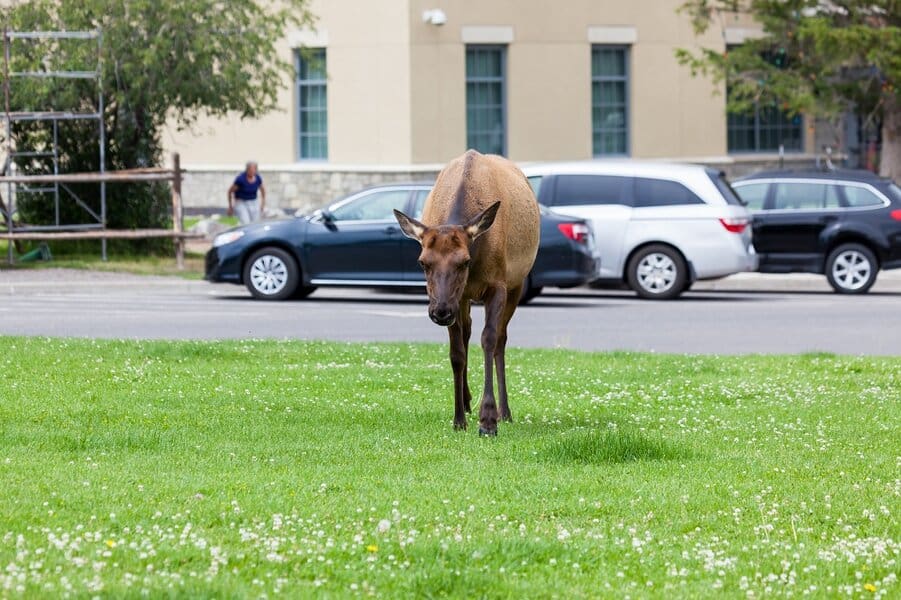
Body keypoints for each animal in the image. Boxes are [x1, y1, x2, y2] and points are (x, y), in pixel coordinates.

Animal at [394, 150, 540, 436]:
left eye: (465, 261)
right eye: (422, 262)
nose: (438, 312)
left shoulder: (498, 284)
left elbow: (489, 340)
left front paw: (488, 421)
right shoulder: (457, 298)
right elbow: (457, 352)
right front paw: (458, 418)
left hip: (516, 283)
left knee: (501, 339)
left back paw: (505, 411)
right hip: (464, 300)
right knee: (468, 332)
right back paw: (467, 400)